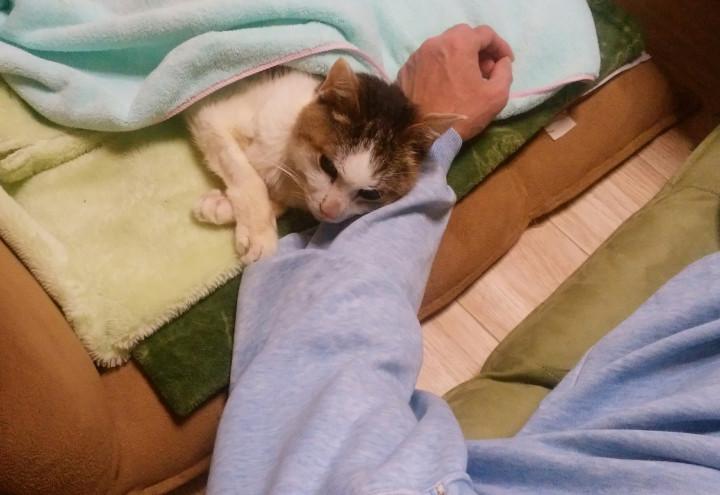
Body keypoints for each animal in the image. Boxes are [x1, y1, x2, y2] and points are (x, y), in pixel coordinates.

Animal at [185, 58, 460, 264]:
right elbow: (246, 175)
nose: (330, 210)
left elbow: (276, 198)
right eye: (327, 165)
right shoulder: (212, 113)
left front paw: (220, 205)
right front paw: (258, 233)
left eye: (371, 194)